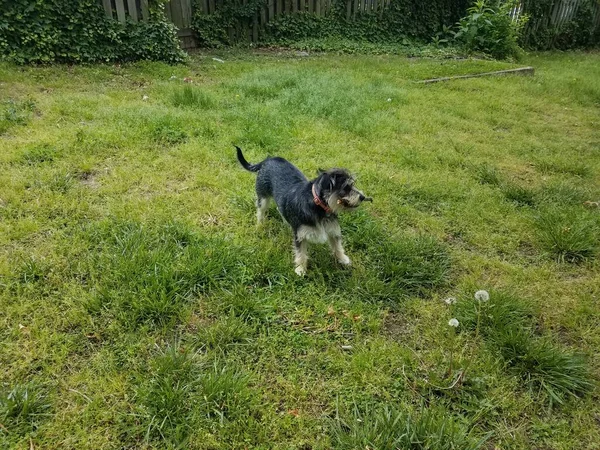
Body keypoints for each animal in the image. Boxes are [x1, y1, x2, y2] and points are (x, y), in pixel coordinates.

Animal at [237, 146, 372, 276]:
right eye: (347, 187)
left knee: (279, 208)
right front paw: (301, 269)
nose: (363, 197)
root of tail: (268, 159)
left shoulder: (333, 230)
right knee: (260, 211)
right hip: (263, 197)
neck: (319, 206)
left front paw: (343, 259)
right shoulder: (300, 235)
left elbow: (337, 246)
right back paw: (260, 225)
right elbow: (301, 253)